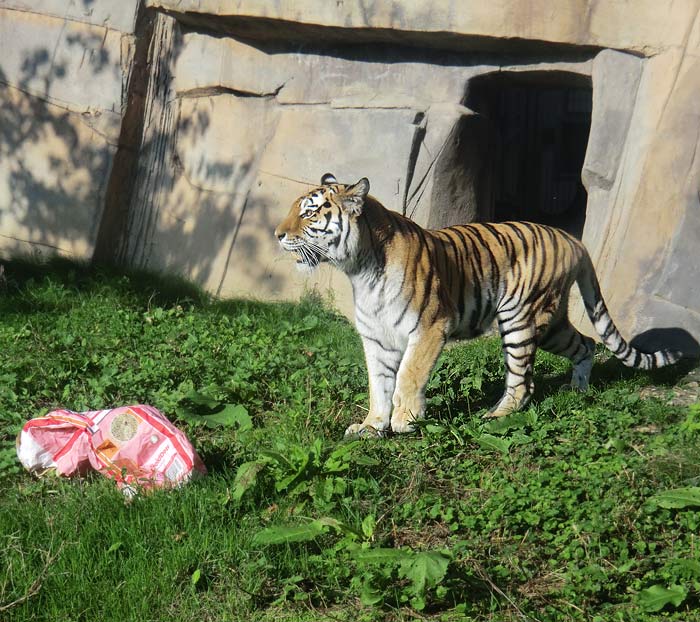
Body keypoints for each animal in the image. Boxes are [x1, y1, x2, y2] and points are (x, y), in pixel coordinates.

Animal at [274, 174, 684, 438]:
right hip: (552, 323)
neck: (359, 270)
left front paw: (406, 421)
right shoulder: (376, 339)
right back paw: (578, 391)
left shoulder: (429, 327)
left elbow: (408, 375)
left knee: (523, 382)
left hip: (520, 319)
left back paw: (496, 416)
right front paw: (371, 426)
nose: (277, 234)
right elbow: (379, 384)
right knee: (587, 344)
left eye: (310, 212)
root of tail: (572, 239)